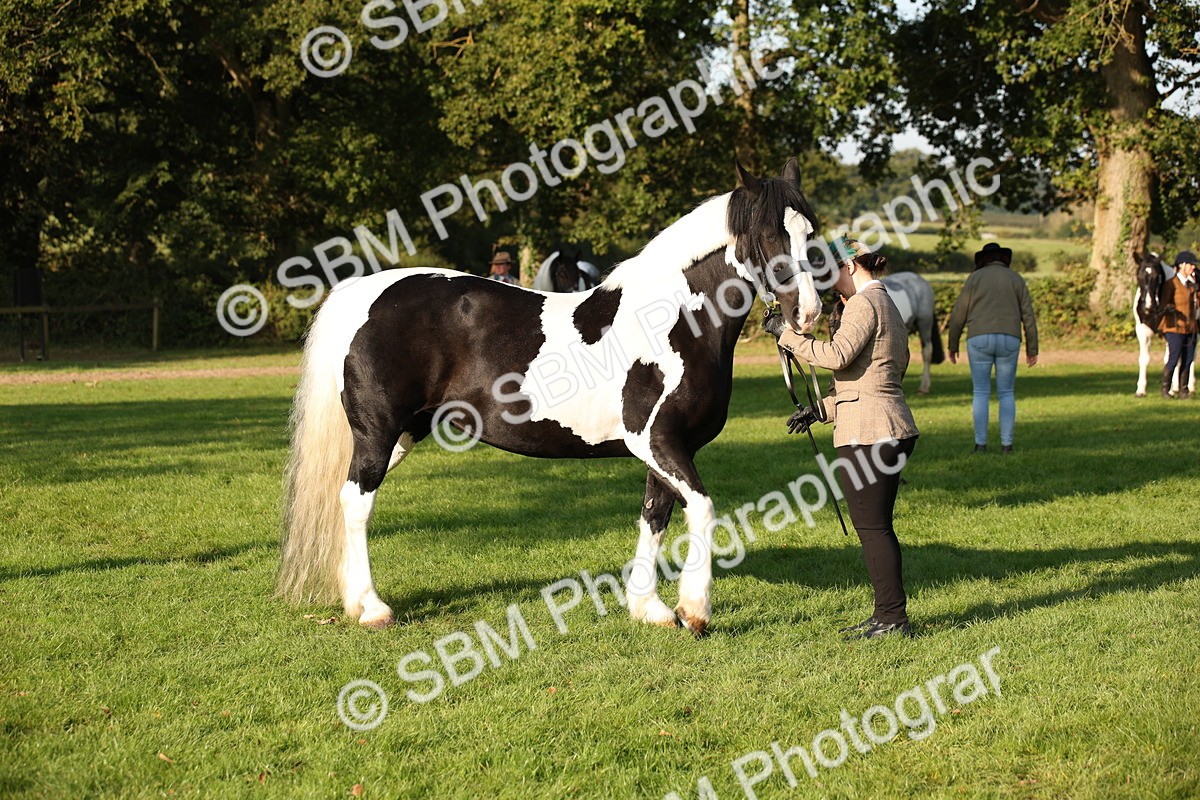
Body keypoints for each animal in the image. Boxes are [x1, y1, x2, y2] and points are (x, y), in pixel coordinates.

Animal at [277, 159, 823, 637]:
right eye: (769, 235)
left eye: (810, 234)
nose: (809, 313)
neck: (671, 321)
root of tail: (362, 293)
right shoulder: (659, 441)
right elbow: (703, 510)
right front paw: (694, 611)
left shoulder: (667, 450)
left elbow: (655, 515)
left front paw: (648, 608)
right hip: (379, 431)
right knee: (356, 502)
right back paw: (372, 608)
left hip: (406, 432)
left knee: (345, 497)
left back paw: (354, 601)